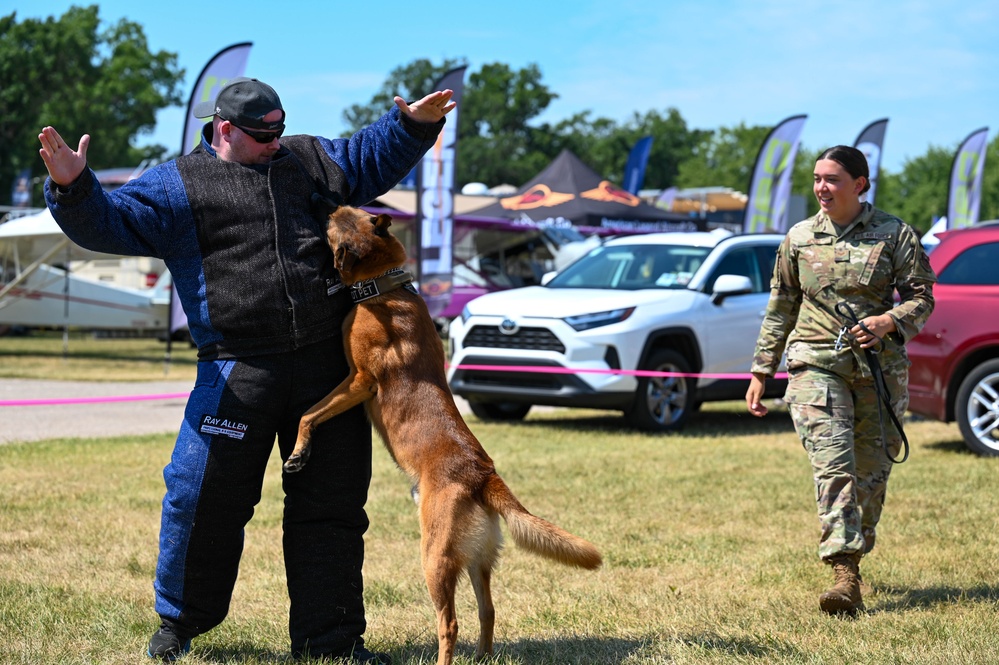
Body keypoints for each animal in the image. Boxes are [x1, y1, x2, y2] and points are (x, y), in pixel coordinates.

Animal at [286, 205, 604, 660]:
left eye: (333, 224)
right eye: (352, 212)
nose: (325, 204)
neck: (385, 288)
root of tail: (483, 475)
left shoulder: (359, 381)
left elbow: (308, 414)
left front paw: (299, 452)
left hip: (434, 556)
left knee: (450, 623)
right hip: (475, 558)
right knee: (488, 611)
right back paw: (484, 657)